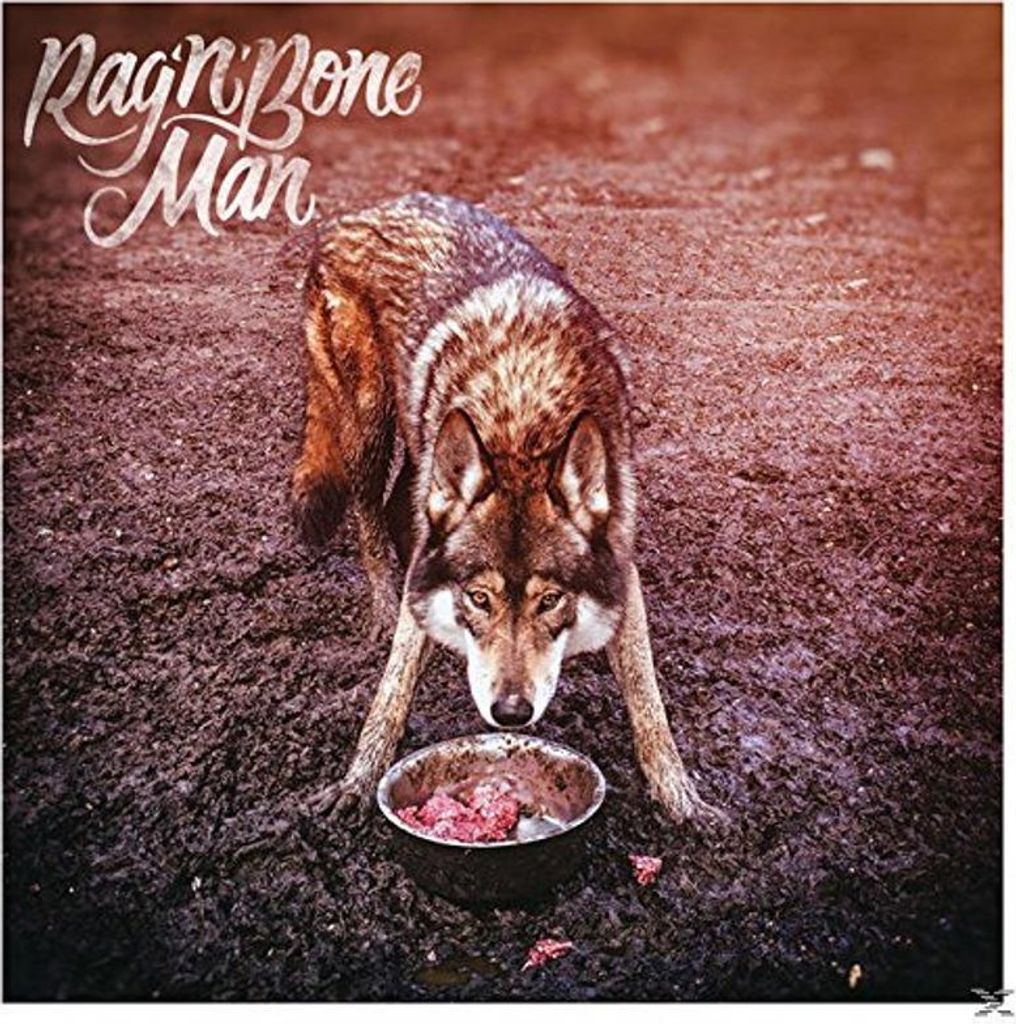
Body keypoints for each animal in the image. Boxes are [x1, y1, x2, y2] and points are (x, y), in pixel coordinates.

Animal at [291, 192, 715, 823]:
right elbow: (391, 692)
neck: (522, 428)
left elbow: (648, 700)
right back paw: (383, 606)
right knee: (368, 513)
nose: (510, 714)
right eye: (480, 598)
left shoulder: (623, 565)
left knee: (397, 507)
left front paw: (681, 799)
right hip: (368, 423)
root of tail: (355, 214)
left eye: (550, 601)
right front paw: (357, 782)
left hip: (419, 448)